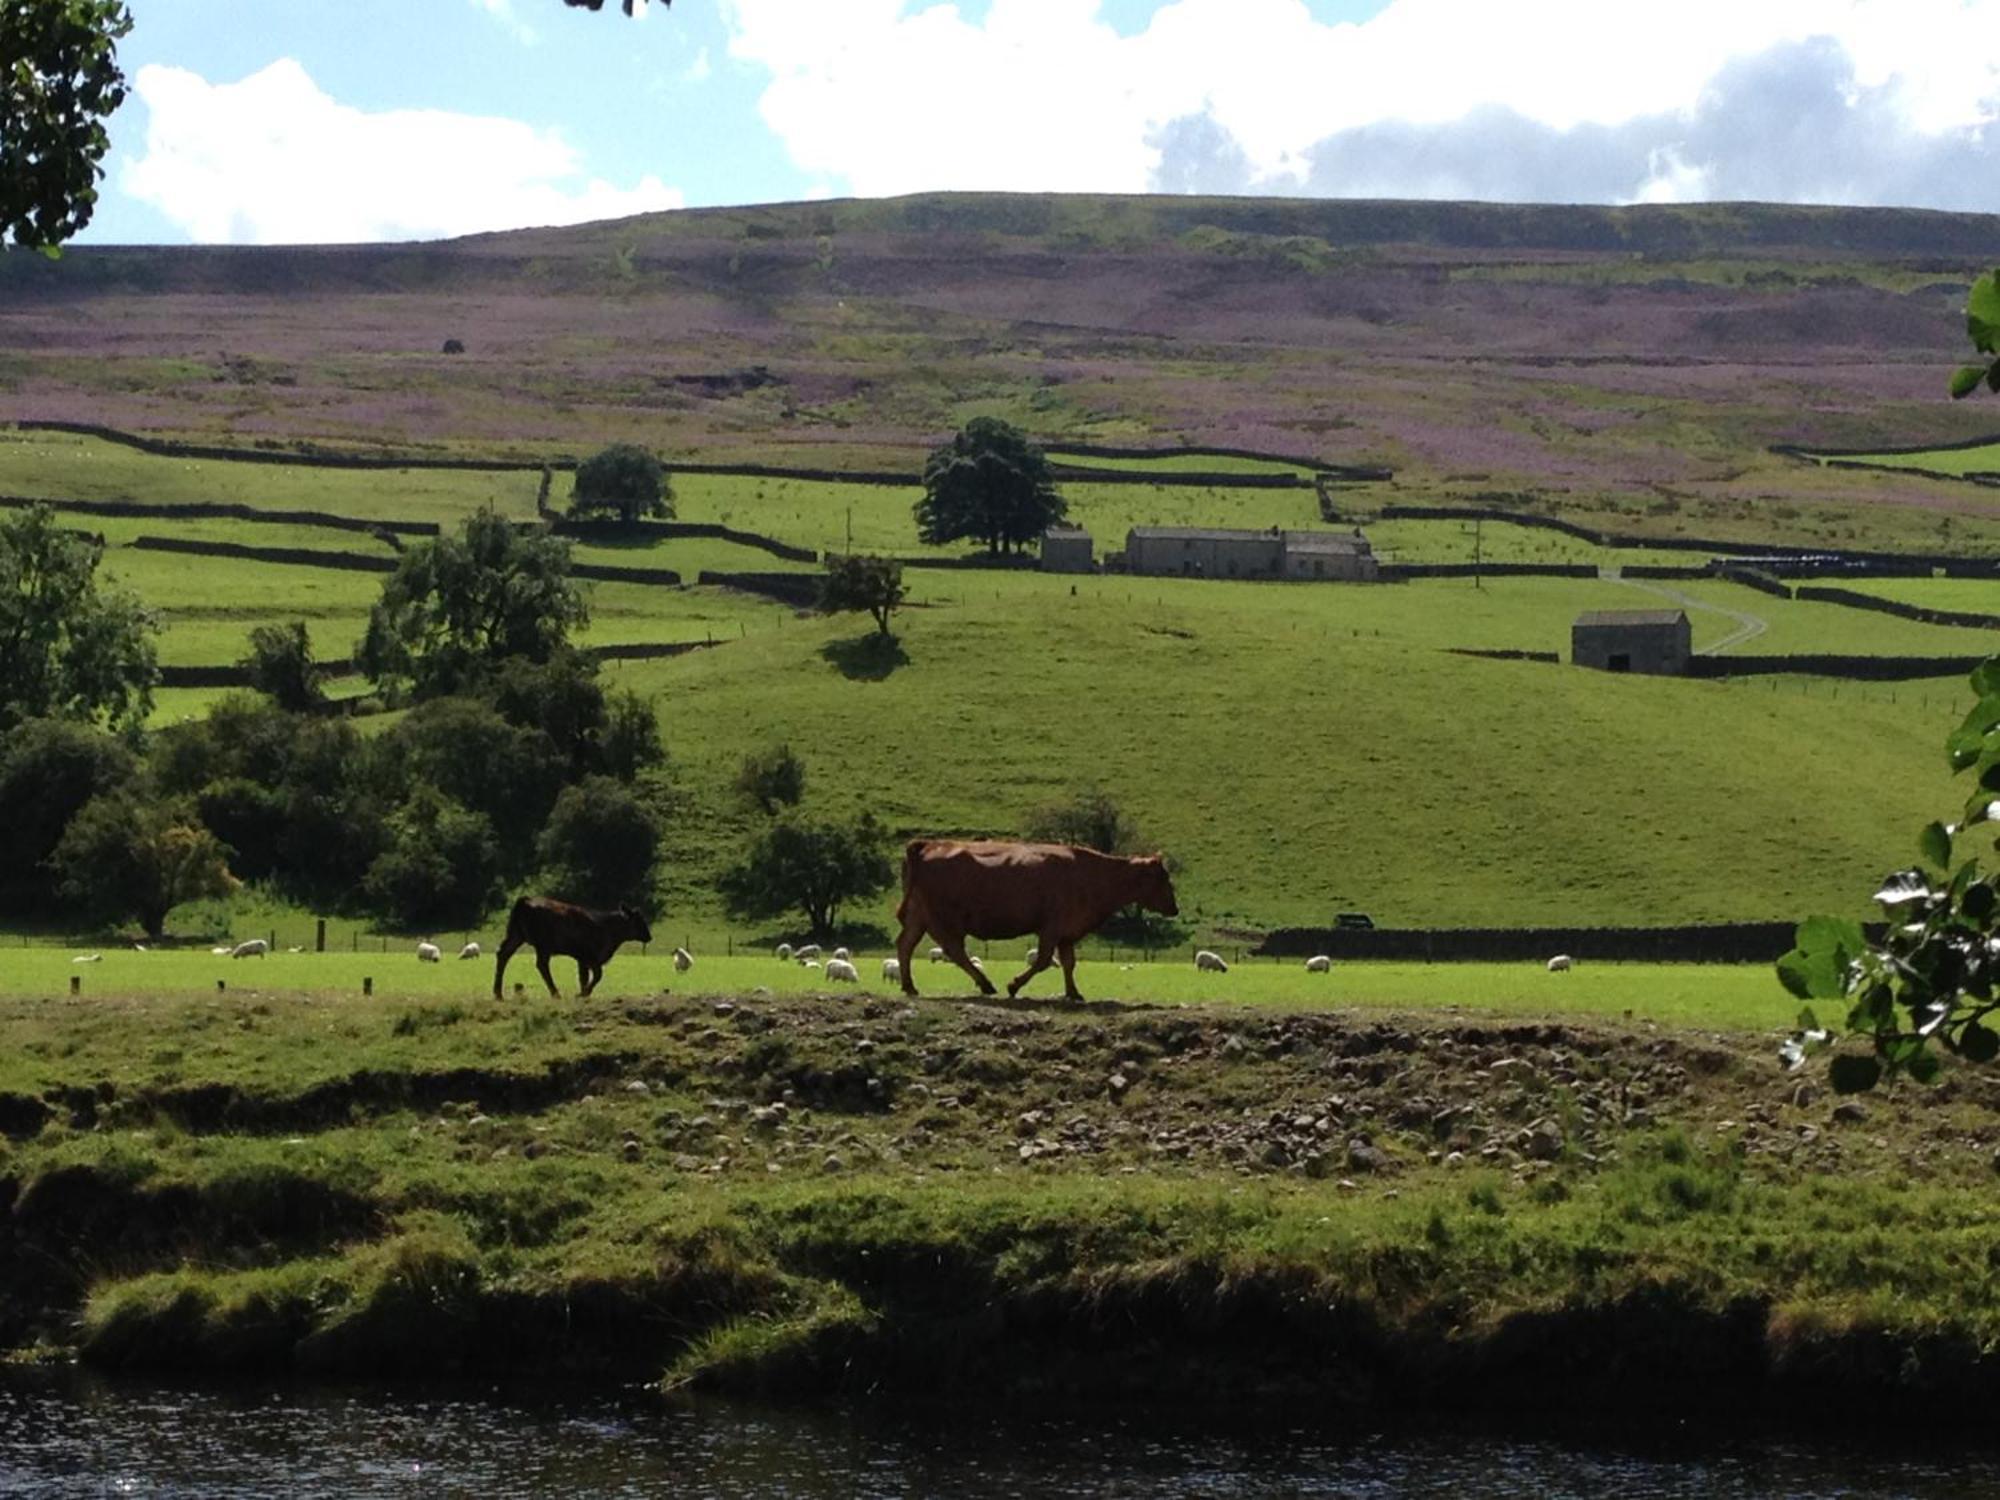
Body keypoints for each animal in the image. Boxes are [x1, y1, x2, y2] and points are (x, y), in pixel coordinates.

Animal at [494, 900, 656, 1004]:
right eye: (639, 921)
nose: (649, 936)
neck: (605, 927)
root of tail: (525, 900)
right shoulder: (589, 956)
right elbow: (598, 975)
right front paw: (583, 994)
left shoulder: (582, 959)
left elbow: (583, 977)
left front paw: (584, 994)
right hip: (542, 945)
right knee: (542, 965)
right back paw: (556, 994)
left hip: (516, 935)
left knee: (503, 955)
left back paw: (498, 994)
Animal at [892, 840, 1168, 1004]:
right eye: (1162, 878)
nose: (1173, 907)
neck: (1091, 872)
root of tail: (929, 845)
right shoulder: (1051, 929)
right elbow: (1044, 960)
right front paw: (1014, 985)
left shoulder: (1066, 933)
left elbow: (1069, 963)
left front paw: (1073, 993)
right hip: (944, 921)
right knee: (954, 951)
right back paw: (986, 984)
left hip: (918, 917)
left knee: (905, 945)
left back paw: (910, 986)